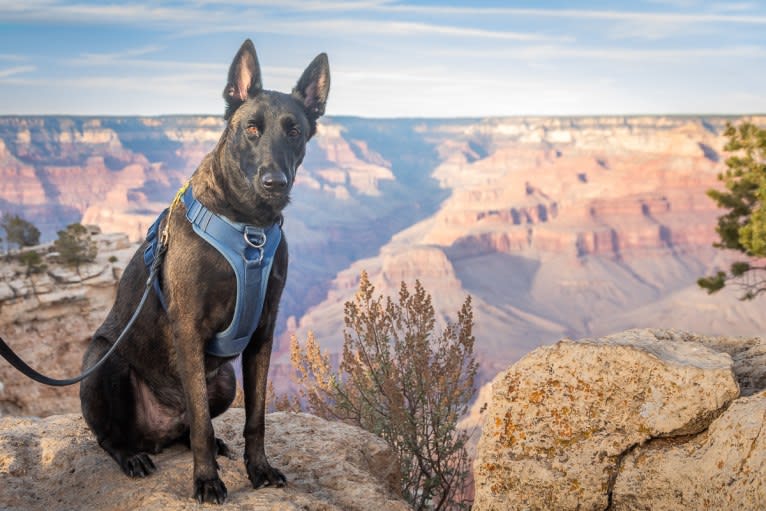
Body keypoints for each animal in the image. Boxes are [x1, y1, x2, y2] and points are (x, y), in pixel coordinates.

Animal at [79, 39, 330, 504]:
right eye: (251, 128)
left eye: (294, 131)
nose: (274, 182)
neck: (247, 223)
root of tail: (156, 434)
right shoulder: (189, 330)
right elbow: (201, 422)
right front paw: (207, 481)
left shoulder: (263, 332)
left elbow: (255, 418)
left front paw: (259, 469)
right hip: (103, 364)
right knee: (114, 436)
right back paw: (132, 457)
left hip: (225, 378)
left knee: (186, 427)